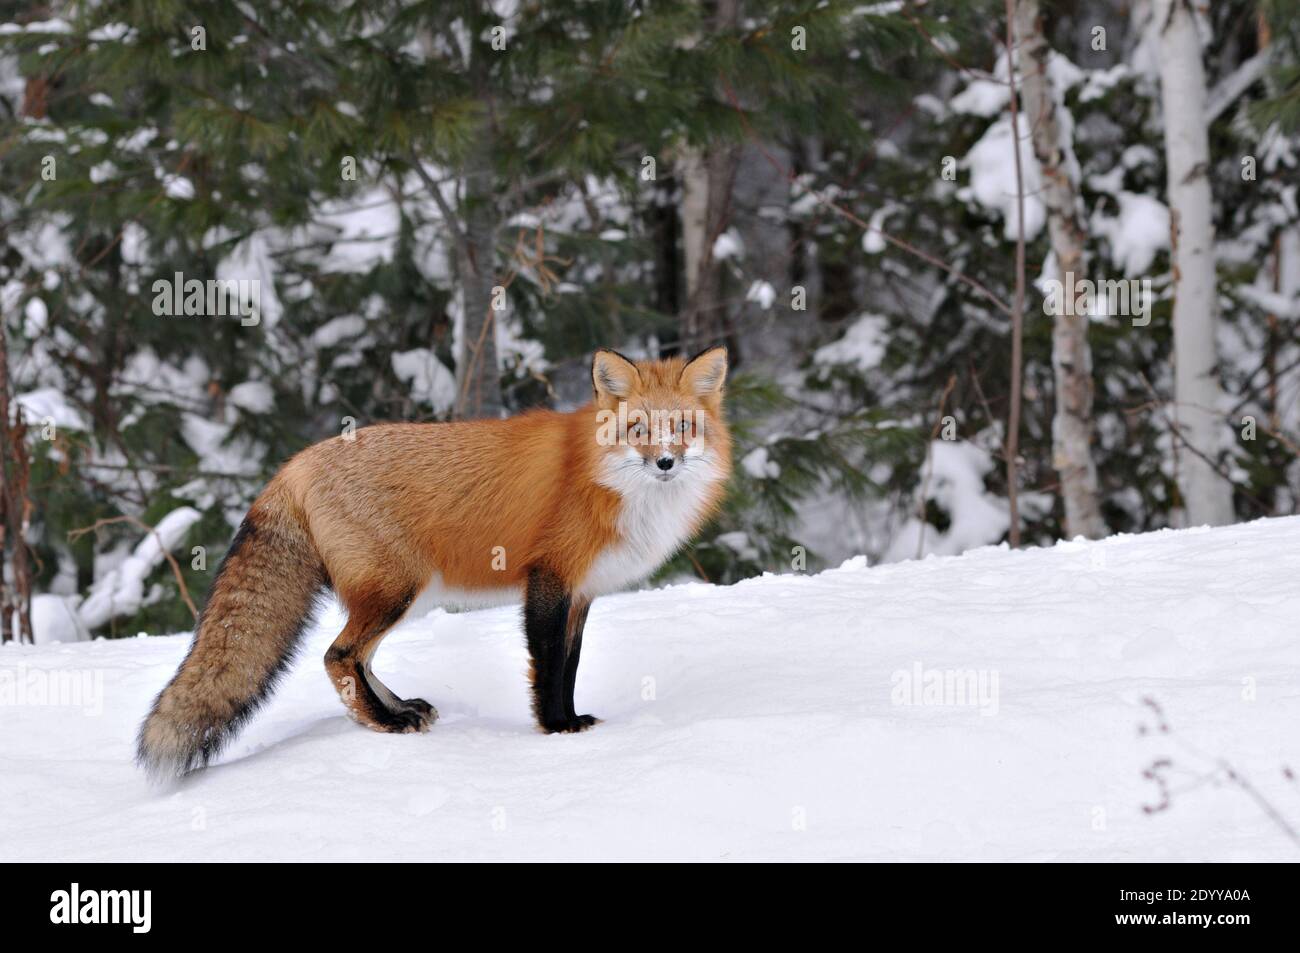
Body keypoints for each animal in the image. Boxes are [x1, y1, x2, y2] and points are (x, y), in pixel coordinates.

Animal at [142, 345, 733, 774]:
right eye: (639, 430)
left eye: (682, 427)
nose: (664, 462)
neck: (603, 479)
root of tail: (294, 464)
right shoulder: (548, 580)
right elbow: (547, 670)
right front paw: (555, 731)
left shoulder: (581, 592)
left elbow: (570, 667)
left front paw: (570, 723)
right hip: (396, 591)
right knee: (338, 656)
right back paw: (385, 724)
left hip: (407, 596)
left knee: (360, 659)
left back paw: (400, 709)